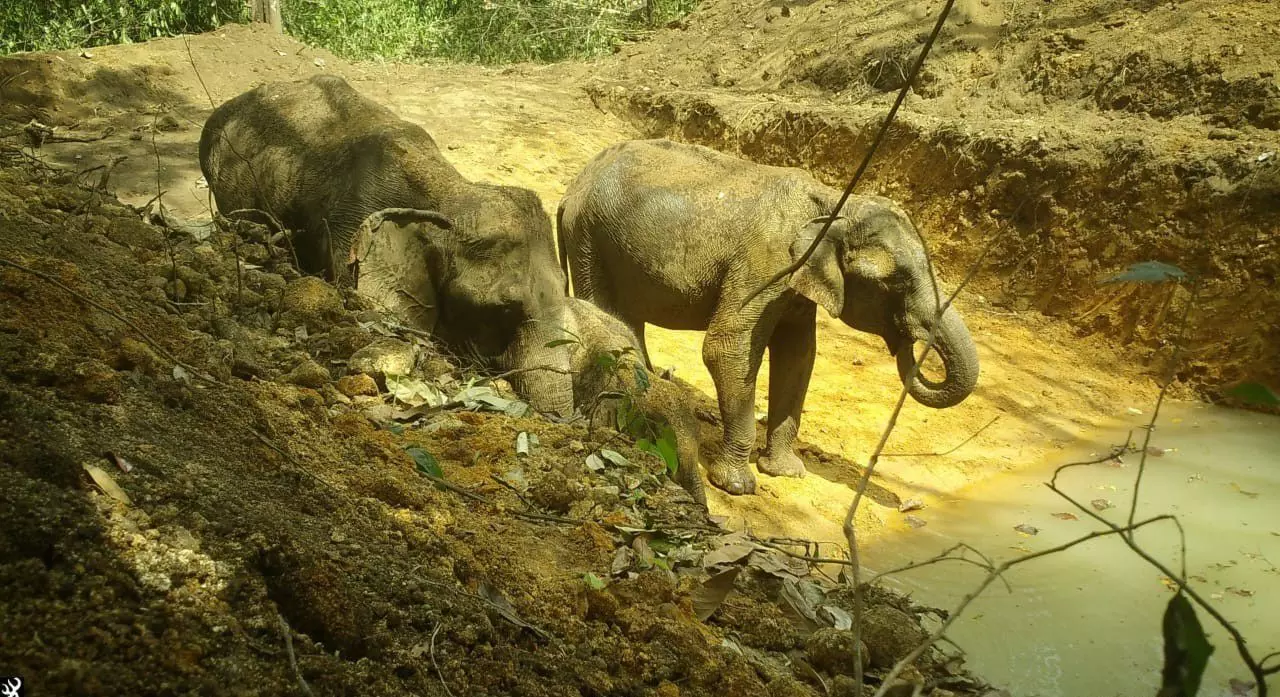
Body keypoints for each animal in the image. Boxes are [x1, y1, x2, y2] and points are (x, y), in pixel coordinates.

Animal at [556, 138, 980, 495]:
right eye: (895, 281)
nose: (908, 341)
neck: (835, 202)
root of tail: (574, 185)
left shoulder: (796, 283)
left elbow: (798, 356)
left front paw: (787, 472)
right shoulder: (764, 268)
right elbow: (726, 348)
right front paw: (737, 486)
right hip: (589, 238)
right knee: (606, 310)